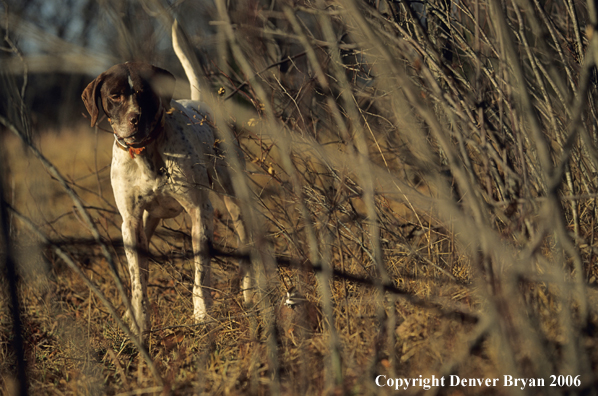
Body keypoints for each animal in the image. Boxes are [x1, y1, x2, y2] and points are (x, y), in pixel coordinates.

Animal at [81, 51, 253, 334]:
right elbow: (138, 280)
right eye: (115, 95)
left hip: (235, 201)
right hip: (147, 222)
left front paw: (202, 315)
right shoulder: (130, 223)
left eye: (145, 92)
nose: (135, 118)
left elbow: (201, 274)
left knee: (246, 245)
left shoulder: (199, 212)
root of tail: (199, 103)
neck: (145, 152)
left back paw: (250, 295)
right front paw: (139, 322)